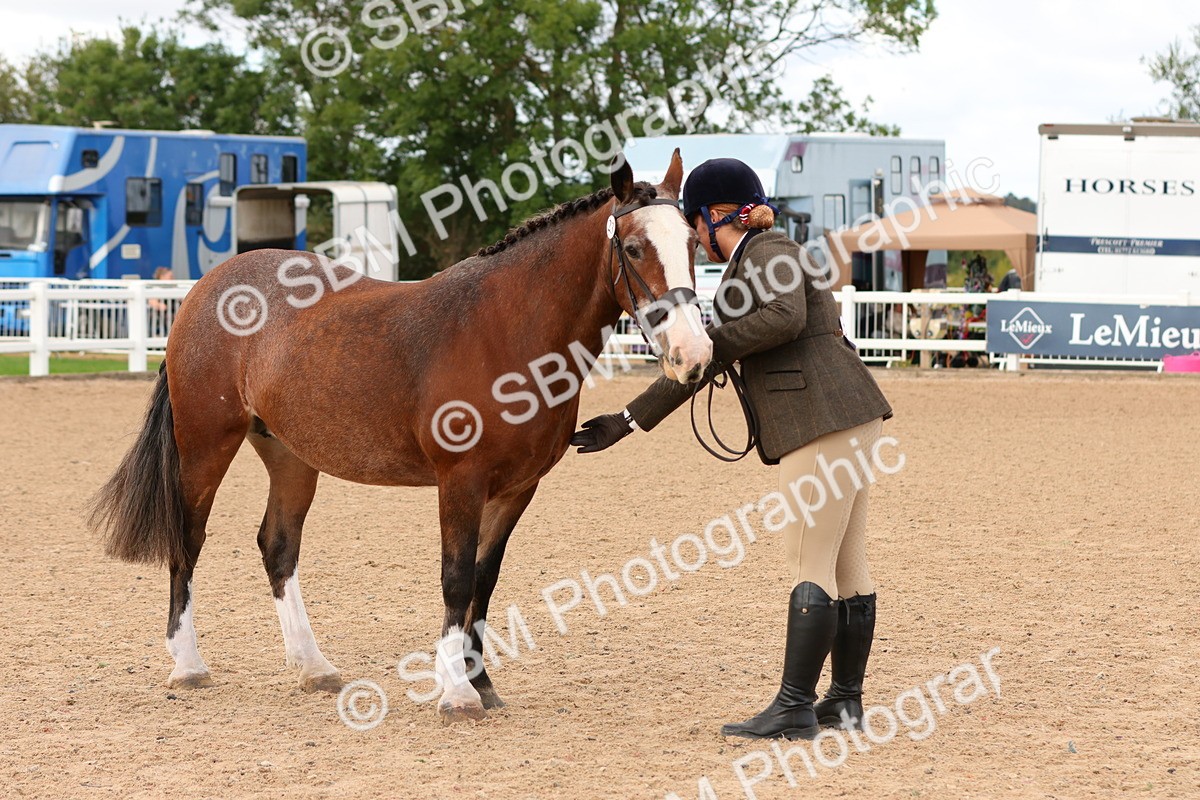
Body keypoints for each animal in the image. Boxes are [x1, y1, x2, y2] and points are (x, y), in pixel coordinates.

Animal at [88, 151, 712, 723]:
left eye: (693, 244)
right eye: (635, 248)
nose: (694, 354)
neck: (508, 332)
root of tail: (204, 289)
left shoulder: (517, 488)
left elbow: (484, 582)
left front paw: (481, 682)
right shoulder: (460, 481)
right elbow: (456, 580)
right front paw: (457, 693)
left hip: (290, 455)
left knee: (278, 547)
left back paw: (313, 667)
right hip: (205, 444)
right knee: (188, 540)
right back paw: (188, 664)